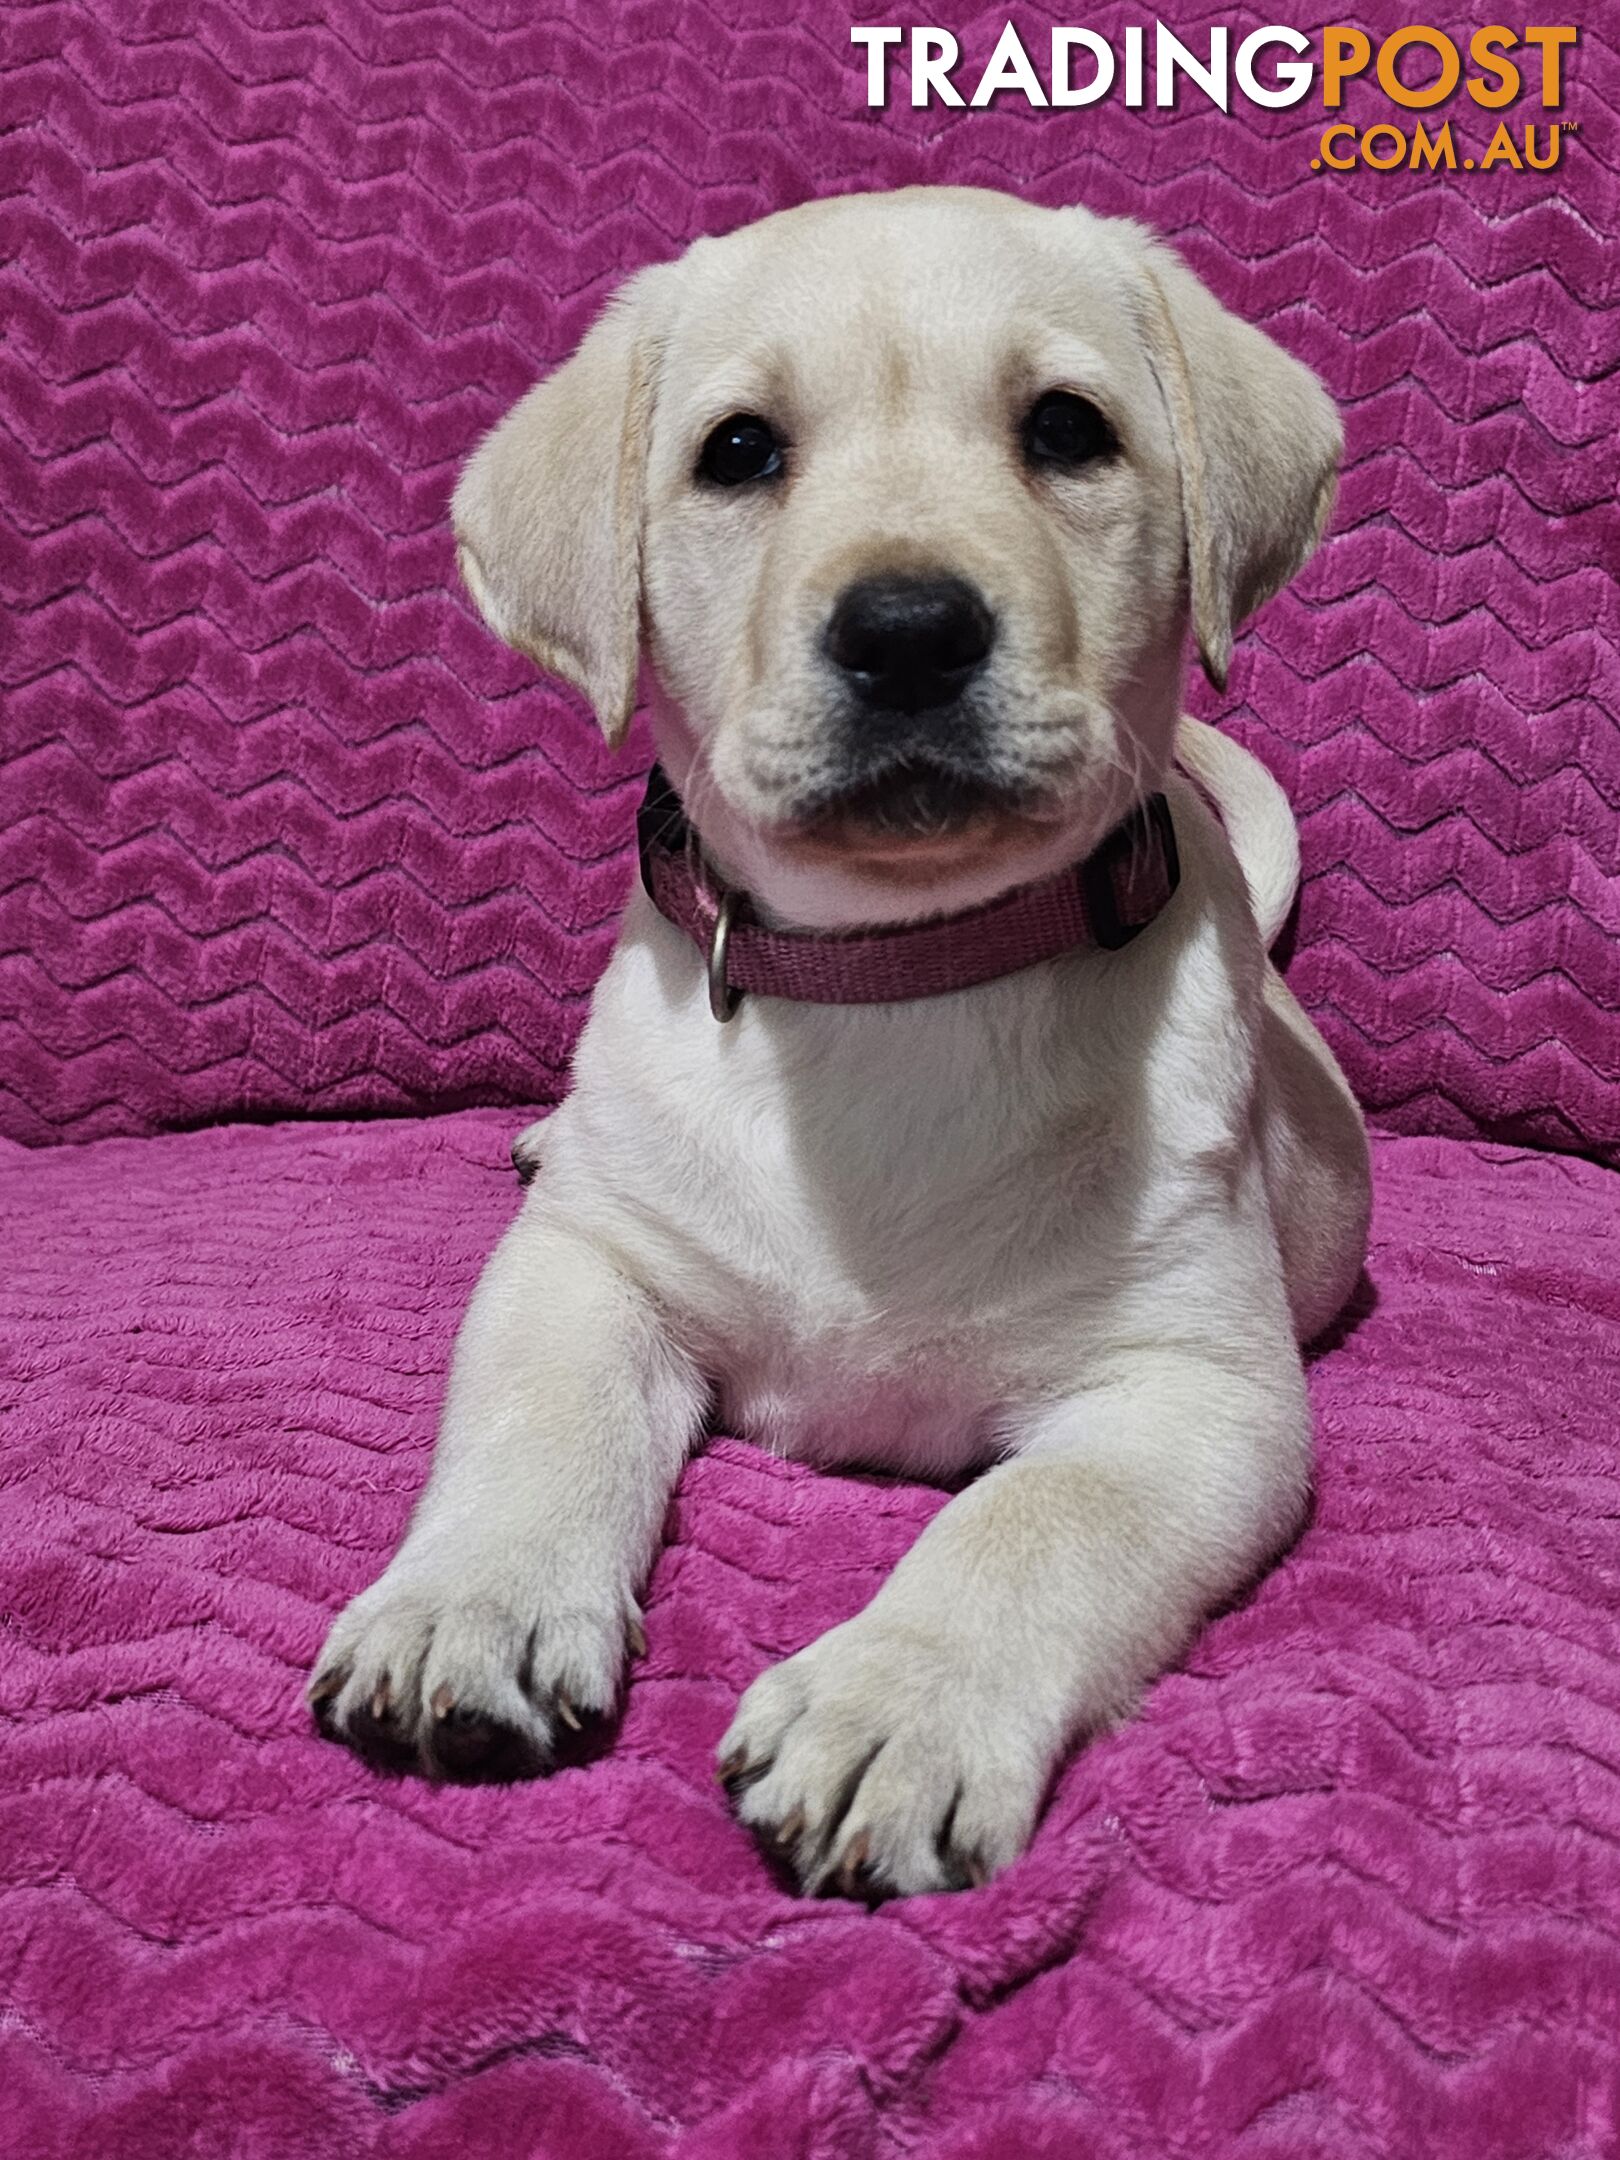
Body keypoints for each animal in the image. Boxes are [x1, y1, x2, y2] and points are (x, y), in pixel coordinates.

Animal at [306, 194, 1373, 1900]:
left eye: (1067, 430)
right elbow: (541, 1422)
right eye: (740, 452)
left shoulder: (1194, 1396)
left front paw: (897, 1702)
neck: (891, 978)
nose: (912, 630)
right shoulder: (589, 1266)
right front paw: (467, 1603)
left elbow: (1029, 1522)